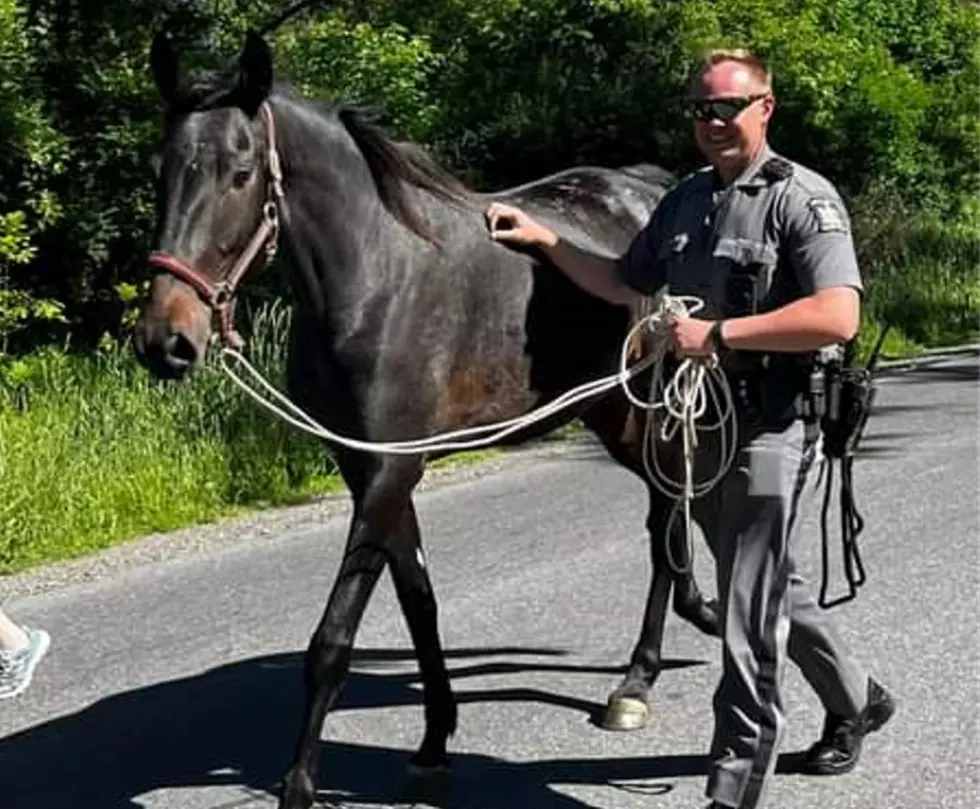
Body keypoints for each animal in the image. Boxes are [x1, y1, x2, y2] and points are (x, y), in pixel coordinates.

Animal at [134, 28, 716, 808]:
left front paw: (299, 783)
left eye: (240, 171)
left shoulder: (390, 468)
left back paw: (640, 676)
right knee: (665, 510)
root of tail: (649, 193)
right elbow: (419, 602)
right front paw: (437, 737)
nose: (165, 340)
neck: (378, 275)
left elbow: (333, 639)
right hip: (610, 413)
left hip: (647, 409)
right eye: (163, 170)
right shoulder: (369, 469)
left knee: (667, 510)